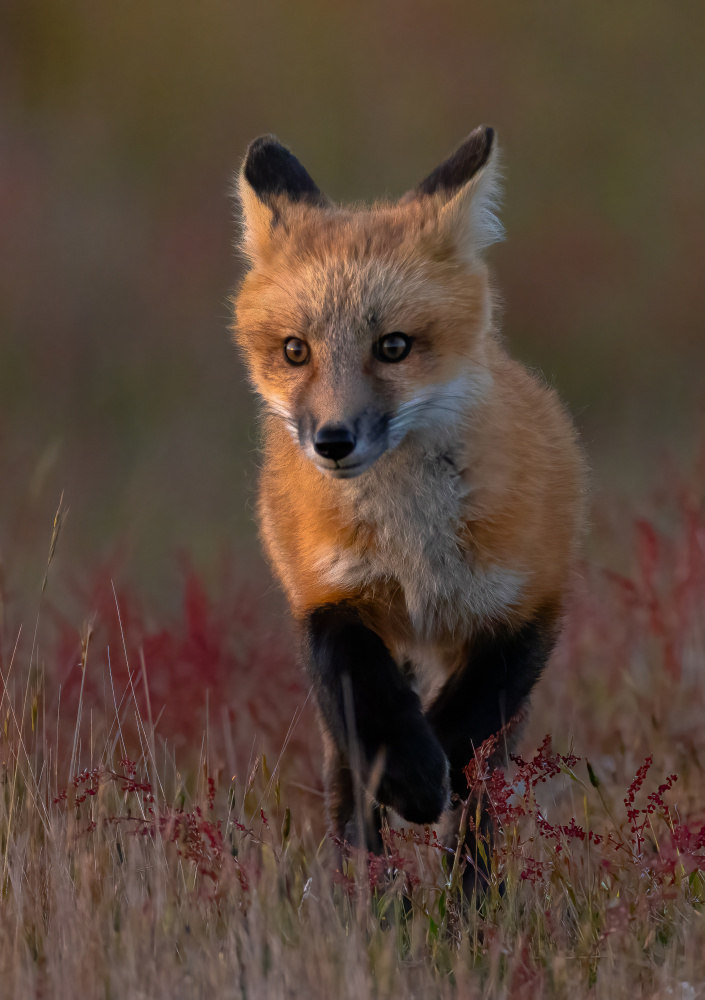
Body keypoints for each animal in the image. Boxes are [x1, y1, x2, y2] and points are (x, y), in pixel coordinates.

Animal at [231, 126, 587, 858]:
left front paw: (434, 773)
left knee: (484, 789)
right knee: (347, 778)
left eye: (392, 347)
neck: (413, 543)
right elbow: (375, 711)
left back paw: (465, 886)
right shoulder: (328, 599)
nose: (332, 441)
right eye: (295, 351)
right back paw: (363, 881)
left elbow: (470, 728)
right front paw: (412, 777)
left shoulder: (527, 607)